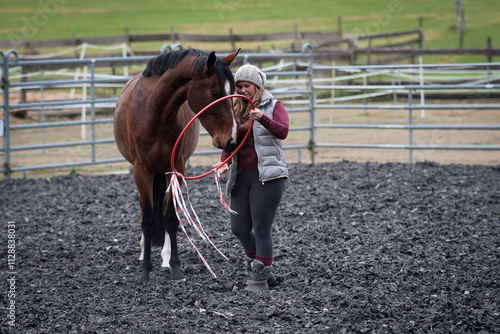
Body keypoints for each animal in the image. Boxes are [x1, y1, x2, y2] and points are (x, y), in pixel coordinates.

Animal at [114, 48, 239, 280]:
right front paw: (146, 270)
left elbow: (171, 219)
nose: (232, 140)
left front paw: (175, 266)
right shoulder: (141, 170)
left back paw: (164, 256)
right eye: (214, 92)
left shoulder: (176, 169)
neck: (155, 112)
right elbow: (148, 220)